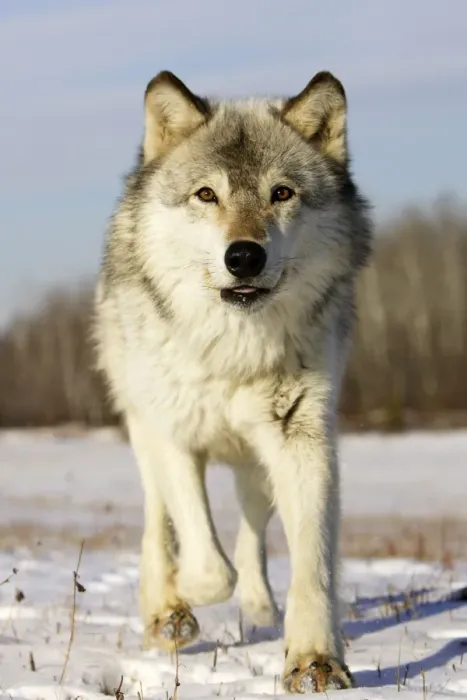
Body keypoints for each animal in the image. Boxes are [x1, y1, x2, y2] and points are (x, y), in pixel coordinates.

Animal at [93, 69, 372, 693]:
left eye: (281, 194)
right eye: (206, 195)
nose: (244, 256)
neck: (233, 354)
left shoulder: (302, 439)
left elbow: (310, 561)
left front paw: (314, 659)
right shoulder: (174, 435)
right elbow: (205, 562)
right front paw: (179, 602)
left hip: (256, 466)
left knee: (252, 534)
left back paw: (260, 608)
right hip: (142, 427)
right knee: (159, 522)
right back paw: (164, 604)